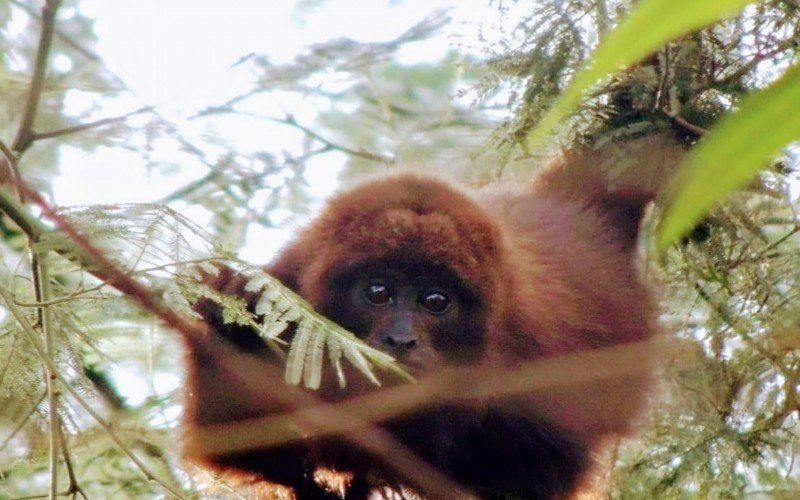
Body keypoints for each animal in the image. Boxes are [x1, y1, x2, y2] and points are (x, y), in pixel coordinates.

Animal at [188, 137, 680, 500]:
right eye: (378, 292)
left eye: (436, 301)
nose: (401, 339)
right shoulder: (290, 283)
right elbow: (239, 443)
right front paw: (232, 318)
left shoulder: (530, 352)